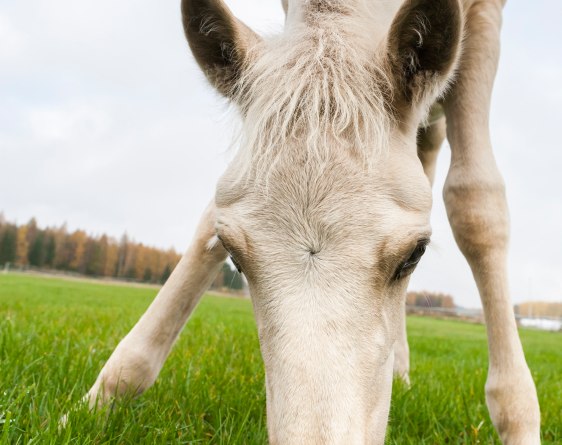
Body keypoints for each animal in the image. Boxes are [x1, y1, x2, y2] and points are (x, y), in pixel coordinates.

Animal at [70, 0, 540, 440]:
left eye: (415, 255)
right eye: (234, 256)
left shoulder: (486, 16)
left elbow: (475, 201)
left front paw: (519, 421)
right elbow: (214, 207)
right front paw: (97, 402)